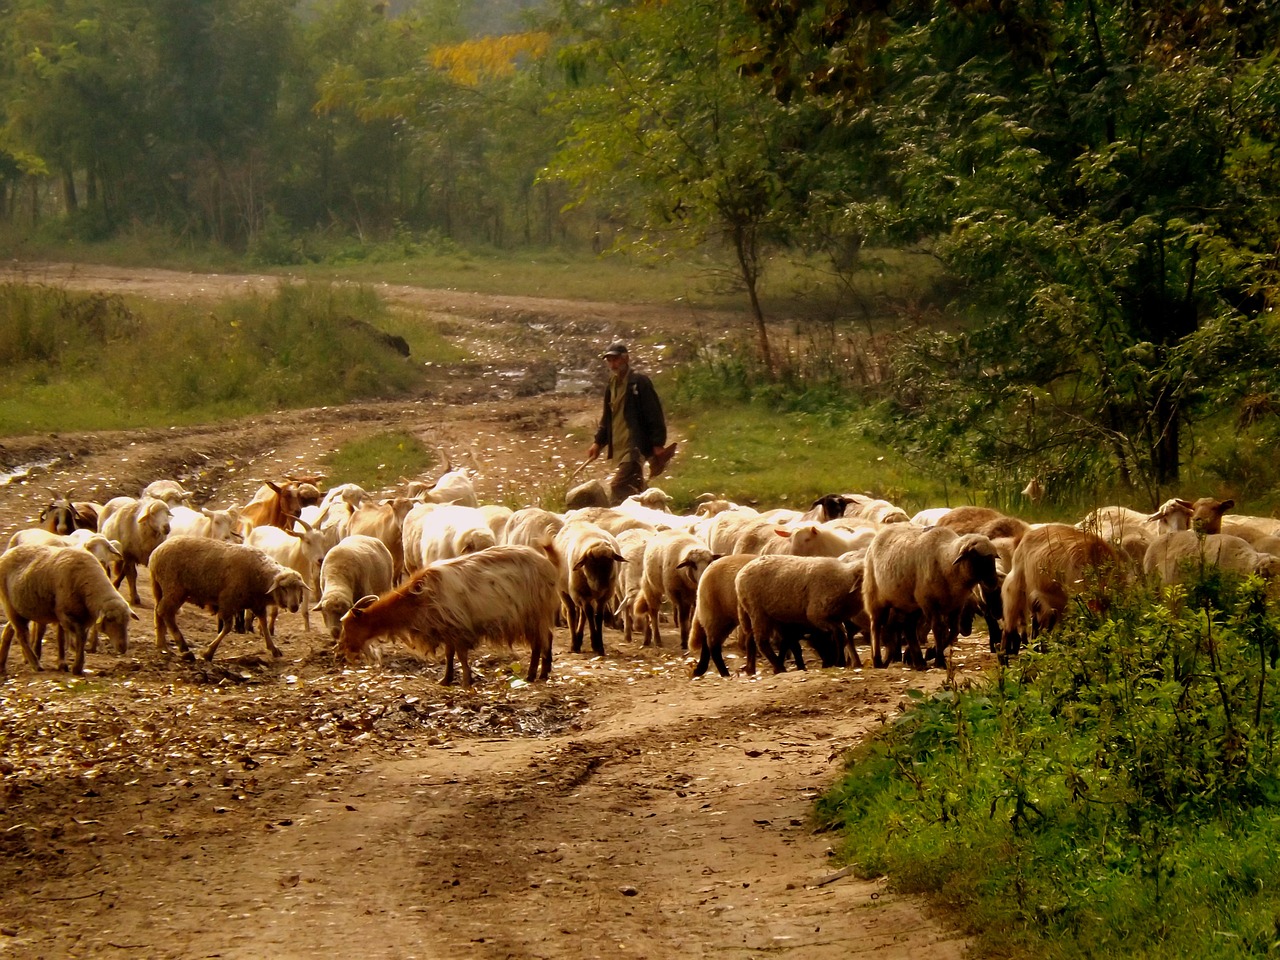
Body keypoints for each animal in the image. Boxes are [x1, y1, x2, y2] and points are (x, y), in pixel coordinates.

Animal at [148, 537, 308, 665]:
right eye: (284, 588)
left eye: (299, 588)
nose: (294, 606)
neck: (260, 576)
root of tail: (155, 553)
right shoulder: (227, 602)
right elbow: (227, 628)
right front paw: (208, 653)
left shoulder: (257, 605)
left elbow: (264, 624)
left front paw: (273, 649)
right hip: (174, 589)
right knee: (165, 612)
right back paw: (183, 648)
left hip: (160, 587)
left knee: (158, 612)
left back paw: (162, 646)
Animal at [337, 542, 558, 691]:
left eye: (348, 626)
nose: (341, 652)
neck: (414, 601)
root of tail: (547, 565)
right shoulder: (446, 628)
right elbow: (449, 655)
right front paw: (446, 679)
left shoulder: (456, 627)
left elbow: (460, 655)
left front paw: (467, 682)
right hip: (536, 614)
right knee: (546, 638)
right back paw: (543, 672)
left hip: (532, 612)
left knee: (538, 642)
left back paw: (531, 675)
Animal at [865, 522, 1003, 670]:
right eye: (976, 557)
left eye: (993, 558)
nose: (993, 583)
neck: (946, 560)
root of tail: (881, 532)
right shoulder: (930, 603)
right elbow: (938, 629)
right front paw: (939, 660)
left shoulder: (957, 605)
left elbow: (954, 630)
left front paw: (931, 652)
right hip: (875, 596)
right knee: (876, 625)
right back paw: (878, 661)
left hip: (911, 604)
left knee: (909, 629)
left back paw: (919, 662)